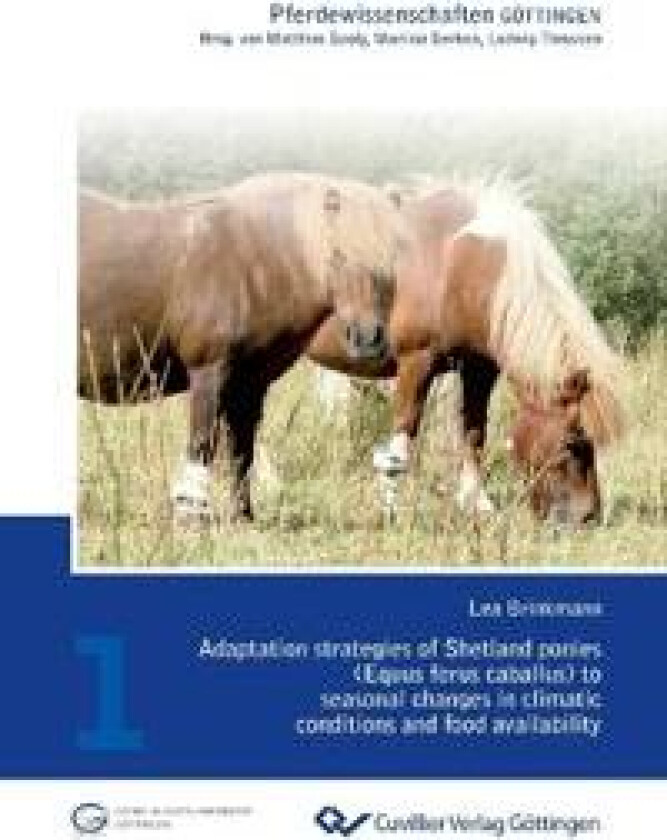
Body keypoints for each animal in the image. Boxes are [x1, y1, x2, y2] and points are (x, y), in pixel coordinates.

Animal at [79, 172, 411, 521]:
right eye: (337, 255)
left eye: (391, 260)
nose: (368, 339)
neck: (255, 260)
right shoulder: (209, 372)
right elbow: (203, 444)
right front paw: (191, 514)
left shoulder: (250, 383)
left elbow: (242, 451)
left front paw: (243, 516)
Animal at [307, 179, 625, 527]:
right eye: (573, 442)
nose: (589, 517)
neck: (455, 263)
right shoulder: (415, 363)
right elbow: (404, 436)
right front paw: (393, 509)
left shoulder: (479, 368)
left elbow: (474, 432)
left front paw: (477, 503)